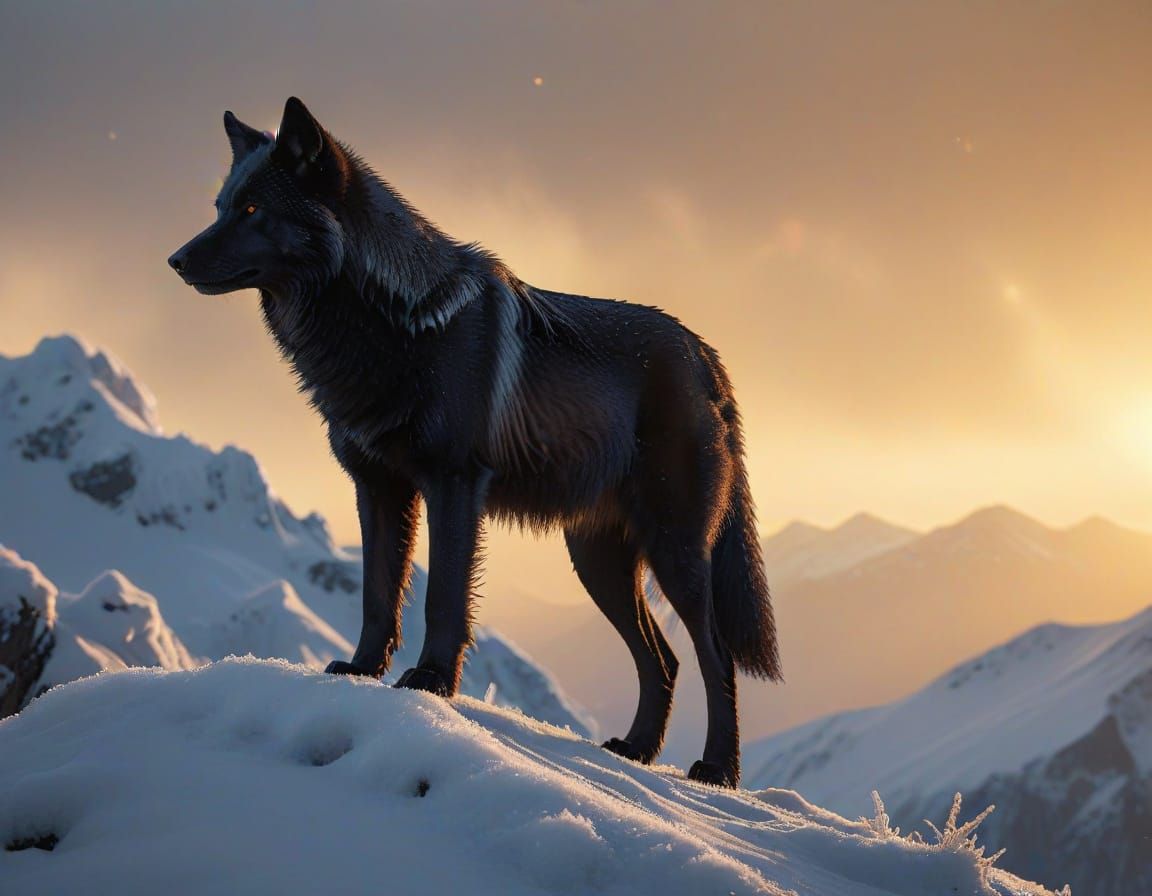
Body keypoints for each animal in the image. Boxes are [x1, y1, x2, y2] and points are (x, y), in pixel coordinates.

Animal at [169, 98, 780, 787]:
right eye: (222, 205)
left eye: (252, 211)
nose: (176, 260)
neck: (394, 321)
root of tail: (706, 356)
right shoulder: (377, 489)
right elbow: (377, 595)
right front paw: (361, 671)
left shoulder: (453, 485)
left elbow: (442, 597)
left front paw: (431, 681)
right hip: (596, 561)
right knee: (664, 659)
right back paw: (636, 749)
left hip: (675, 551)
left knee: (714, 653)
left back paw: (717, 769)